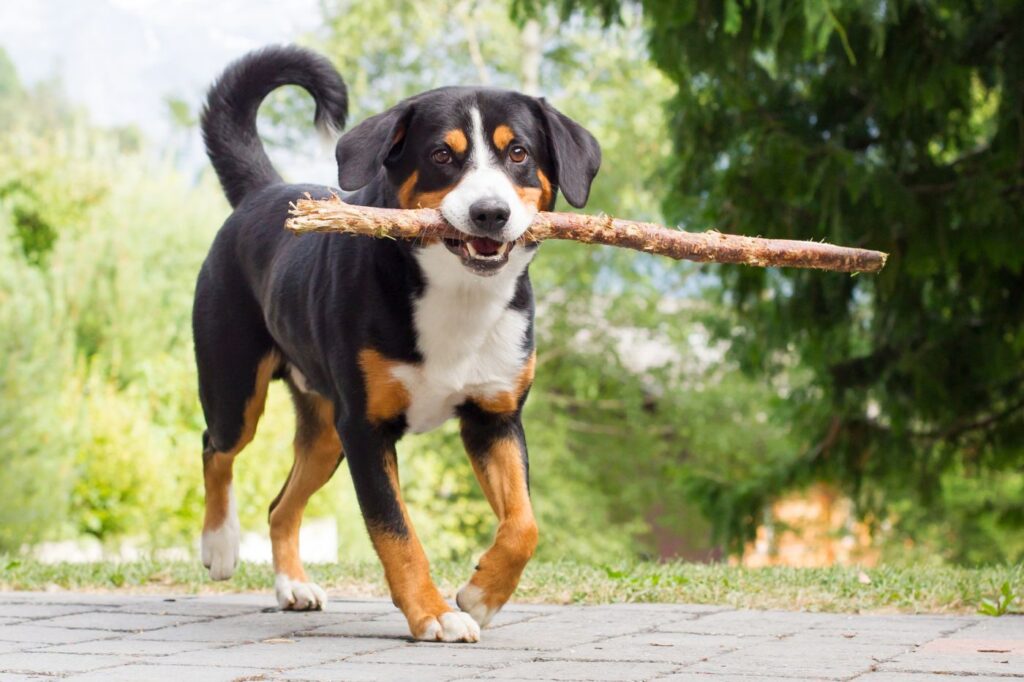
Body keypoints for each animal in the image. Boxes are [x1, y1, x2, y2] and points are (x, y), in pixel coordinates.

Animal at [193, 45, 598, 638]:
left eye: (518, 152)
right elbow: (396, 532)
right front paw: (435, 614)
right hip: (236, 388)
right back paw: (220, 544)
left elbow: (524, 524)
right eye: (442, 155)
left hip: (326, 433)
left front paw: (482, 594)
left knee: (280, 506)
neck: (458, 297)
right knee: (216, 448)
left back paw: (293, 586)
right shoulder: (367, 429)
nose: (490, 213)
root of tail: (263, 192)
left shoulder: (494, 417)